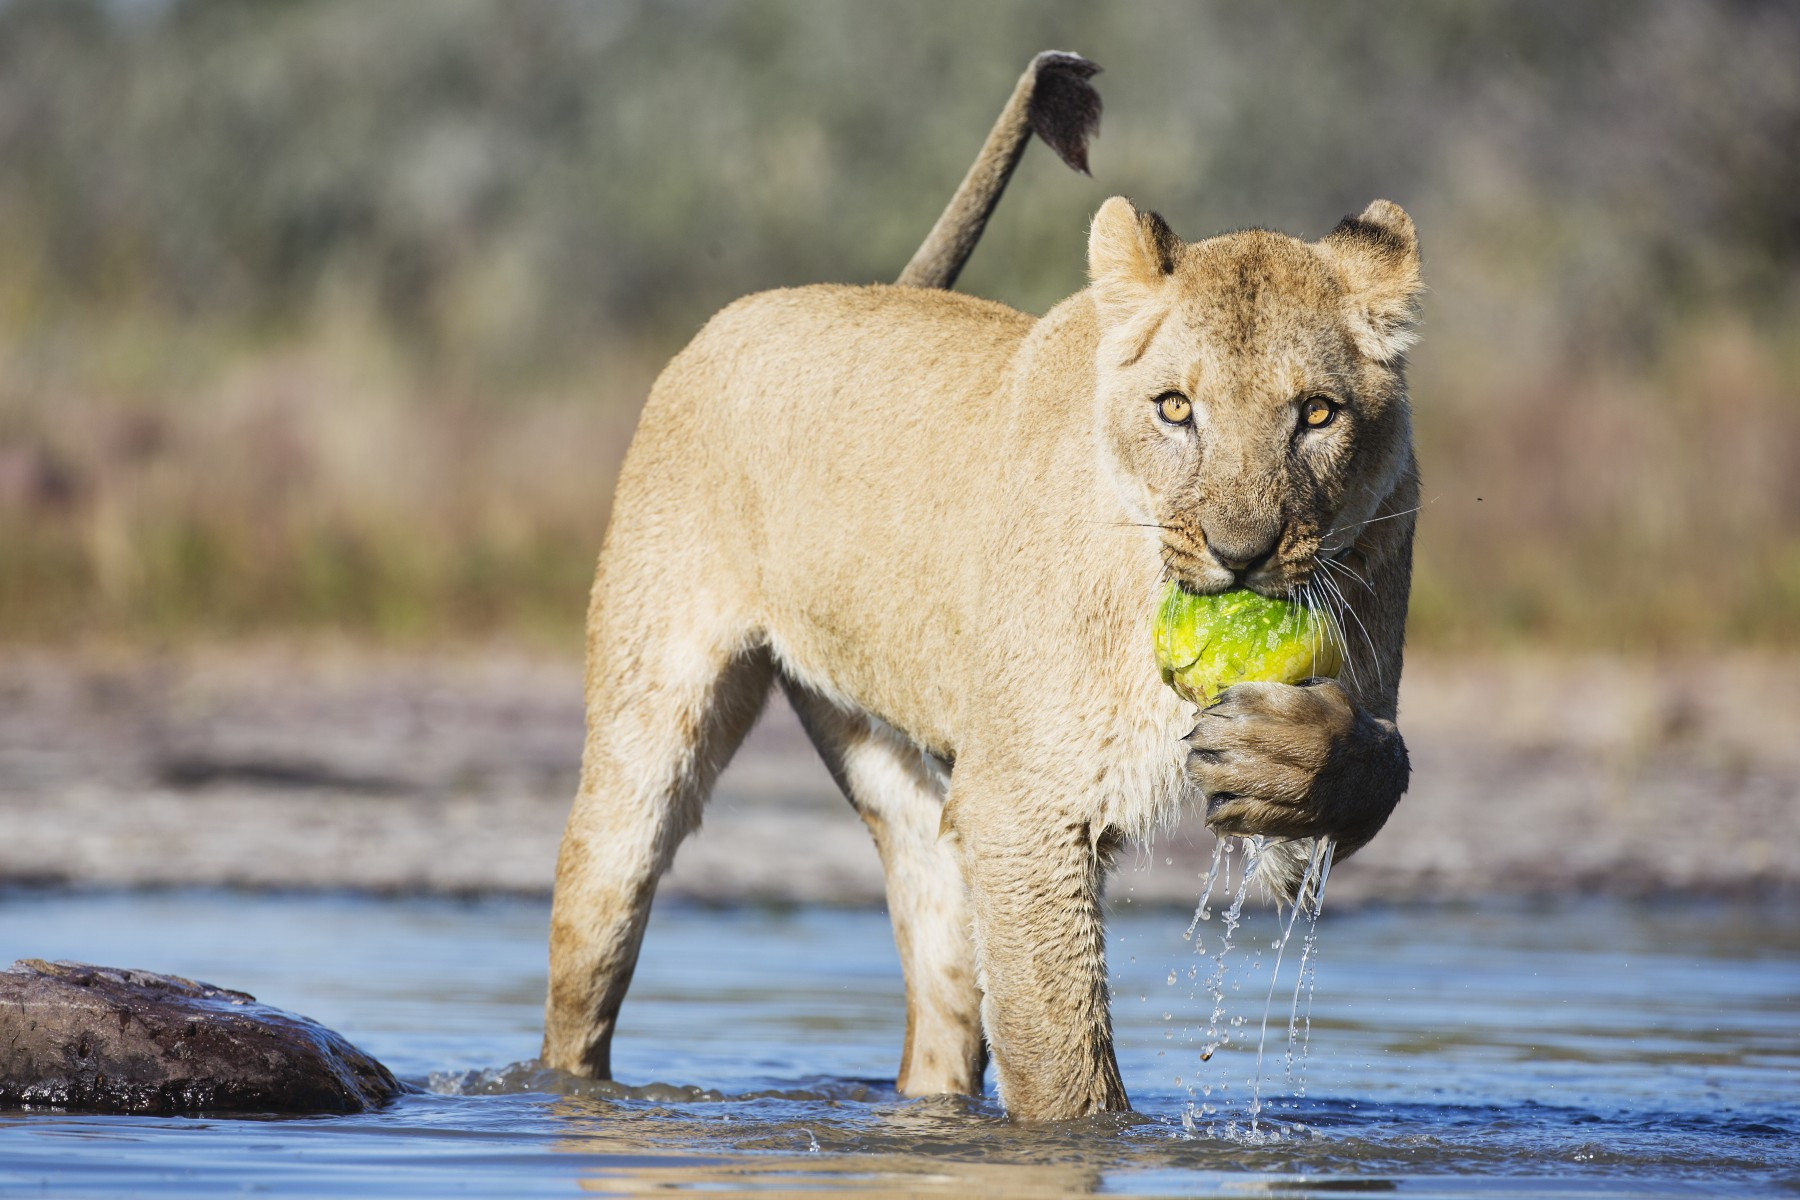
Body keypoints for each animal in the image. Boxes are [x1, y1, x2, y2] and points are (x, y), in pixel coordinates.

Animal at [542, 51, 1419, 1122]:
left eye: (1318, 413)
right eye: (1176, 408)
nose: (1242, 553)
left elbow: (1364, 772)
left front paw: (1279, 753)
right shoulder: (1022, 804)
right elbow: (1064, 1057)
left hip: (890, 759)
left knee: (942, 985)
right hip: (644, 740)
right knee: (592, 945)